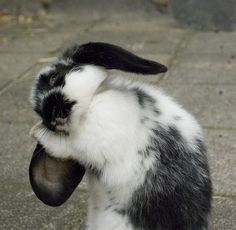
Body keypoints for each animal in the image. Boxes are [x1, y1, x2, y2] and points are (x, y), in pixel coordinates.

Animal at [29, 42, 212, 229]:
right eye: (40, 113)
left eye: (53, 78)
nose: (50, 117)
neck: (93, 102)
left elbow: (64, 146)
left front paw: (35, 131)